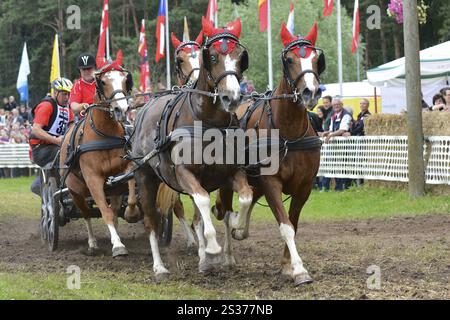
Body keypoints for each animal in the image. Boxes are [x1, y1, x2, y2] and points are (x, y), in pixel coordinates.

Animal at [60, 52, 135, 258]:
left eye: (125, 80)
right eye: (102, 82)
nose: (121, 109)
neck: (104, 134)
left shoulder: (125, 169)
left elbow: (130, 195)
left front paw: (132, 213)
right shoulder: (93, 179)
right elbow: (104, 212)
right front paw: (117, 246)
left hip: (114, 189)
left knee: (115, 210)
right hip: (75, 192)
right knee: (86, 213)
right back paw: (93, 243)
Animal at [131, 16, 253, 278]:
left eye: (240, 56)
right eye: (213, 56)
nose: (232, 97)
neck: (208, 121)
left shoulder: (231, 172)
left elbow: (244, 198)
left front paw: (237, 227)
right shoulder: (186, 174)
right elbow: (204, 203)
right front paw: (212, 247)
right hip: (145, 177)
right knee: (151, 220)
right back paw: (159, 266)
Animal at [214, 21, 324, 284]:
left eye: (316, 59)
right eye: (290, 59)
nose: (310, 92)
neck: (289, 133)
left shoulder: (304, 187)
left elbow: (293, 224)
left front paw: (287, 265)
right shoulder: (271, 182)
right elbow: (285, 226)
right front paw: (299, 270)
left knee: (248, 201)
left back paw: (241, 230)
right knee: (226, 212)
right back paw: (229, 253)